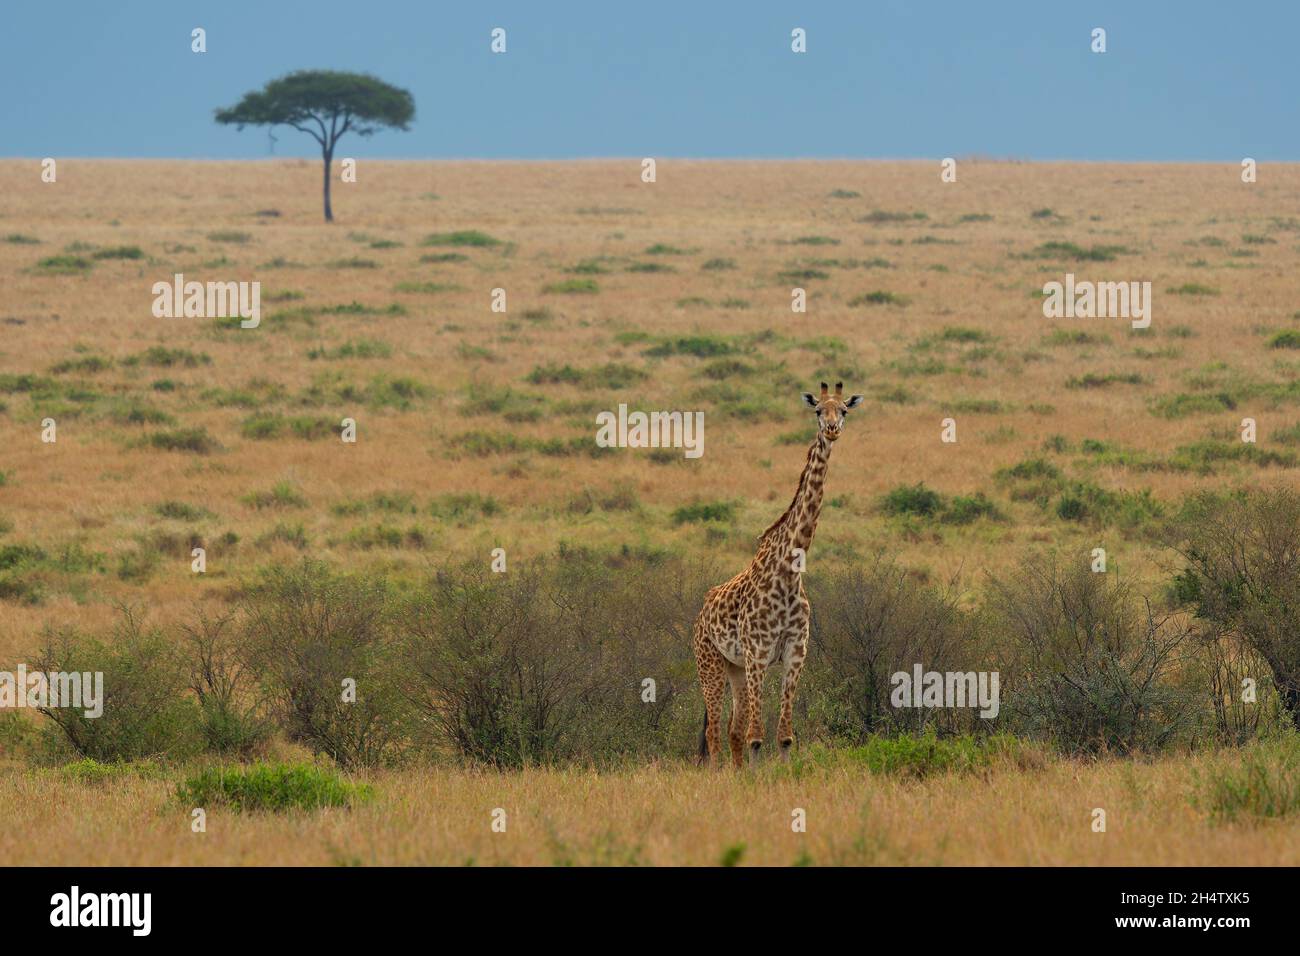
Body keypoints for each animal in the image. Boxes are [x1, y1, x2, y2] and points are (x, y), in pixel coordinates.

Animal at [692, 381, 863, 768]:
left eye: (844, 409)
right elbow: (757, 737)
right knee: (714, 733)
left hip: (735, 668)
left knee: (732, 730)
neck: (788, 572)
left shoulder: (794, 652)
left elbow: (783, 735)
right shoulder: (758, 652)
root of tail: (700, 614)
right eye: (818, 410)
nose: (832, 430)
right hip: (710, 664)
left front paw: (782, 774)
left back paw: (737, 774)